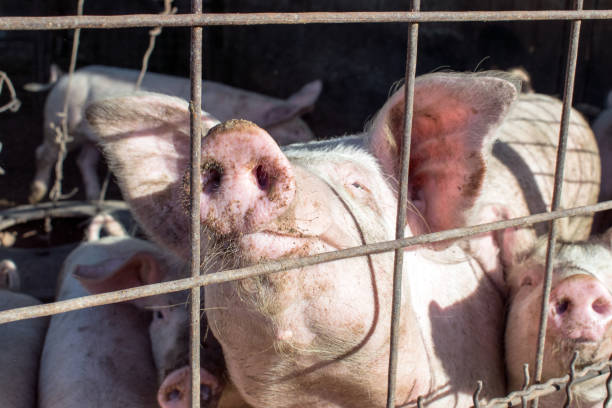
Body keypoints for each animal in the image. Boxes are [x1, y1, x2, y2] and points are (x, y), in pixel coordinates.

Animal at [29, 65, 322, 204]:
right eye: (296, 133)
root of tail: (63, 78)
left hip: (88, 135)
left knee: (84, 160)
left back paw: (94, 199)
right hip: (59, 121)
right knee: (45, 152)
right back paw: (36, 194)